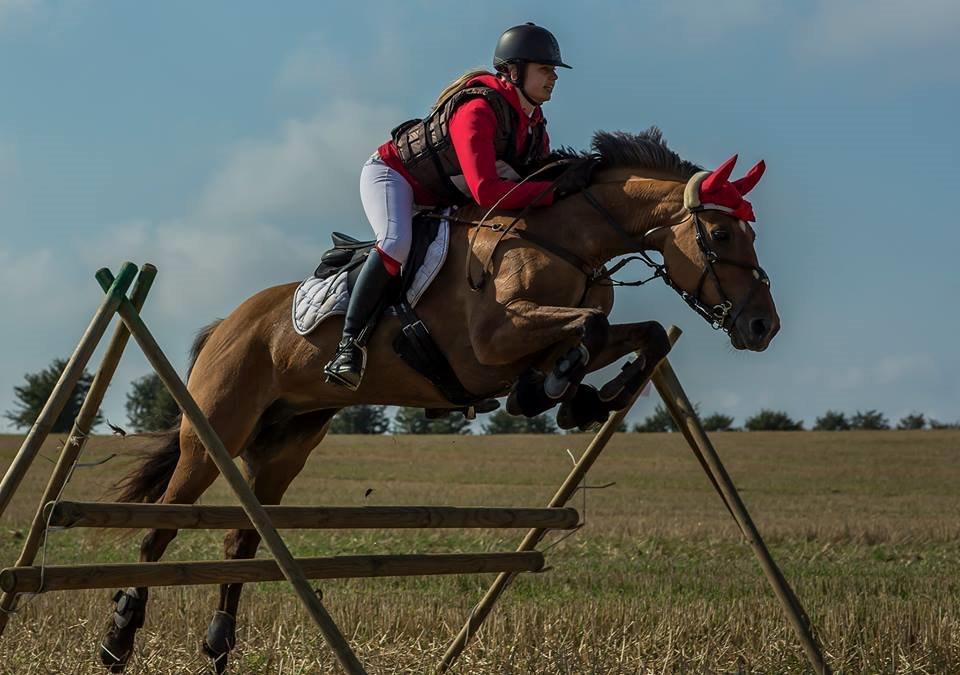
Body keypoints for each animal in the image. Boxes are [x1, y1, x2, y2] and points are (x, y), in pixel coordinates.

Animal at [97, 127, 776, 672]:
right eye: (719, 232)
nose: (762, 326)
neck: (565, 242)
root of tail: (230, 323)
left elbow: (640, 333)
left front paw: (587, 396)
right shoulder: (494, 341)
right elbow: (587, 327)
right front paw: (556, 390)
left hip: (286, 444)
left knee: (241, 541)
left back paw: (218, 643)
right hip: (214, 434)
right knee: (160, 533)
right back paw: (118, 639)